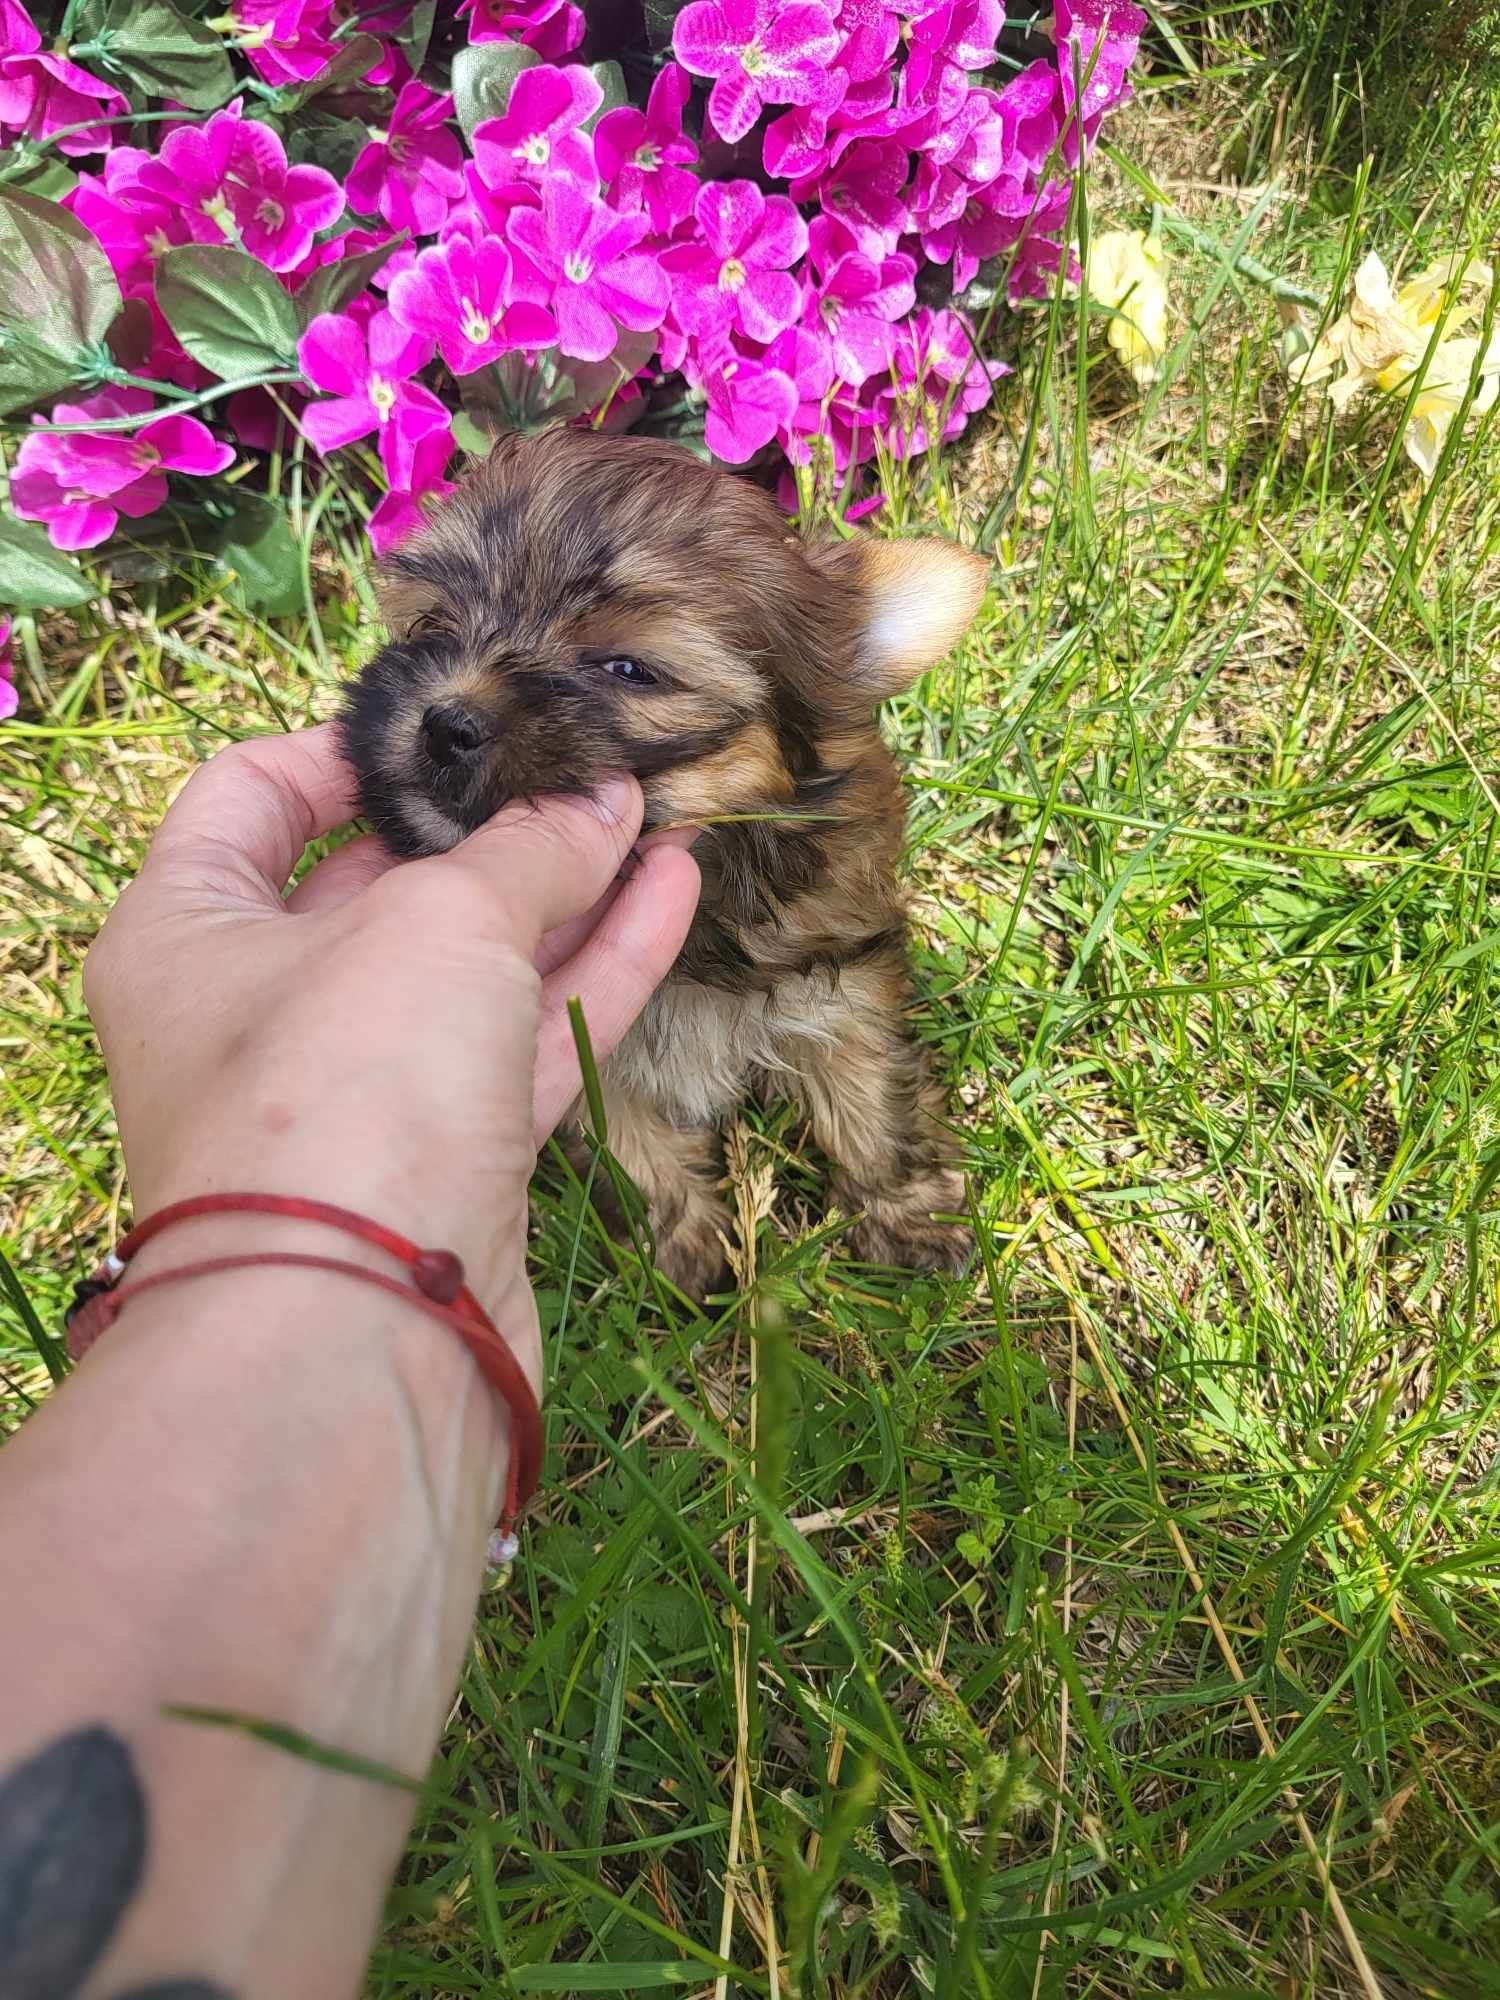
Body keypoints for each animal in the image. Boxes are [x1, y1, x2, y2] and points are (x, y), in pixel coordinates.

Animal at [346, 428, 992, 1288]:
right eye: (430, 626)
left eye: (629, 670)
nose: (446, 723)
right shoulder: (596, 1043)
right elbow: (629, 1144)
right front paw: (684, 1252)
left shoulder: (840, 981)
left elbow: (870, 1097)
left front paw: (909, 1214)